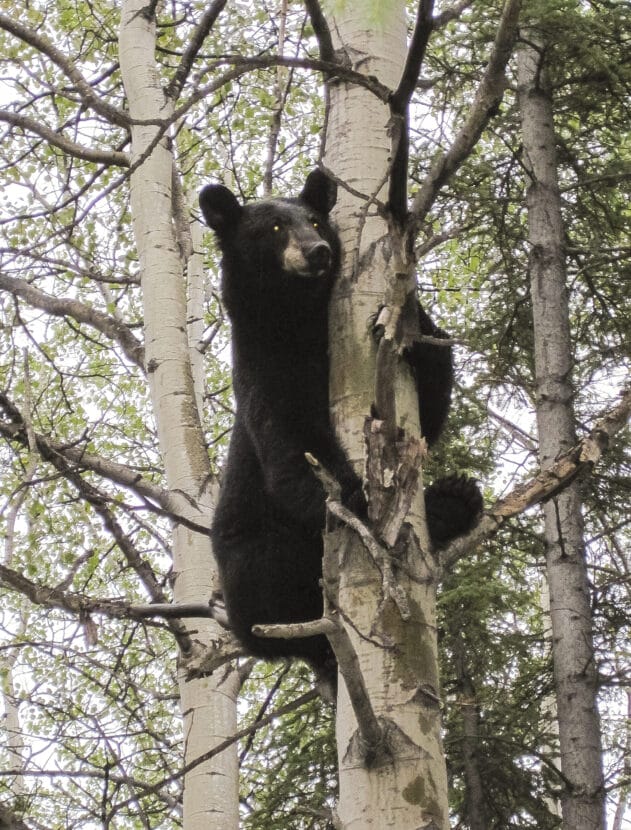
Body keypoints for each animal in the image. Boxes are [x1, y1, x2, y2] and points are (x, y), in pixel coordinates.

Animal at [199, 168, 482, 686]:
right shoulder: (265, 368)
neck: (299, 319)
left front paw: (402, 318)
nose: (318, 251)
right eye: (274, 228)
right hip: (251, 563)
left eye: (314, 221)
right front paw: (357, 497)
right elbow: (293, 445)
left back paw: (453, 501)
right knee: (275, 578)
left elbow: (429, 403)